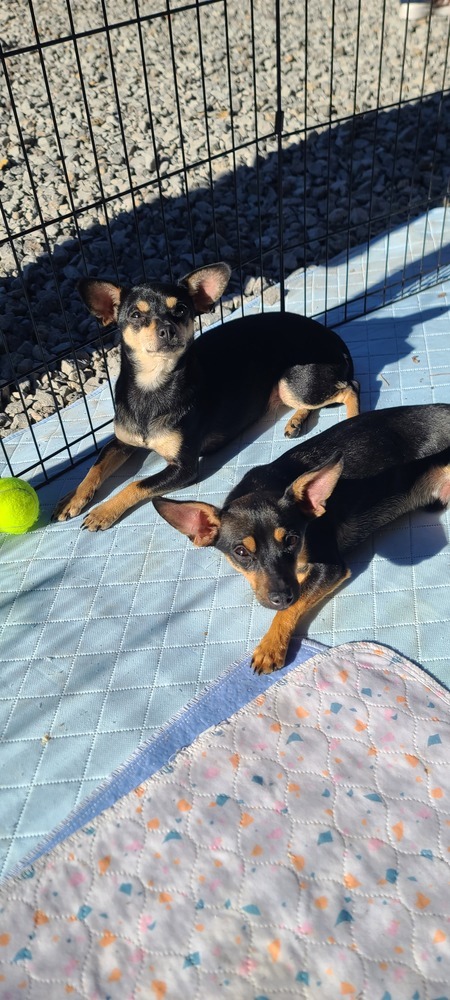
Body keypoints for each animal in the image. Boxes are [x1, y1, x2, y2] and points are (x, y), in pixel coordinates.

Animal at [52, 264, 358, 532]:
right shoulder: (121, 442)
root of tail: (333, 336)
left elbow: (136, 484)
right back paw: (296, 421)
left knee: (349, 387)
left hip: (291, 382)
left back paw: (352, 419)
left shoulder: (184, 468)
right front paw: (72, 498)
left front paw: (103, 512)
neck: (152, 386)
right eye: (135, 316)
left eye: (181, 309)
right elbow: (95, 467)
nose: (167, 329)